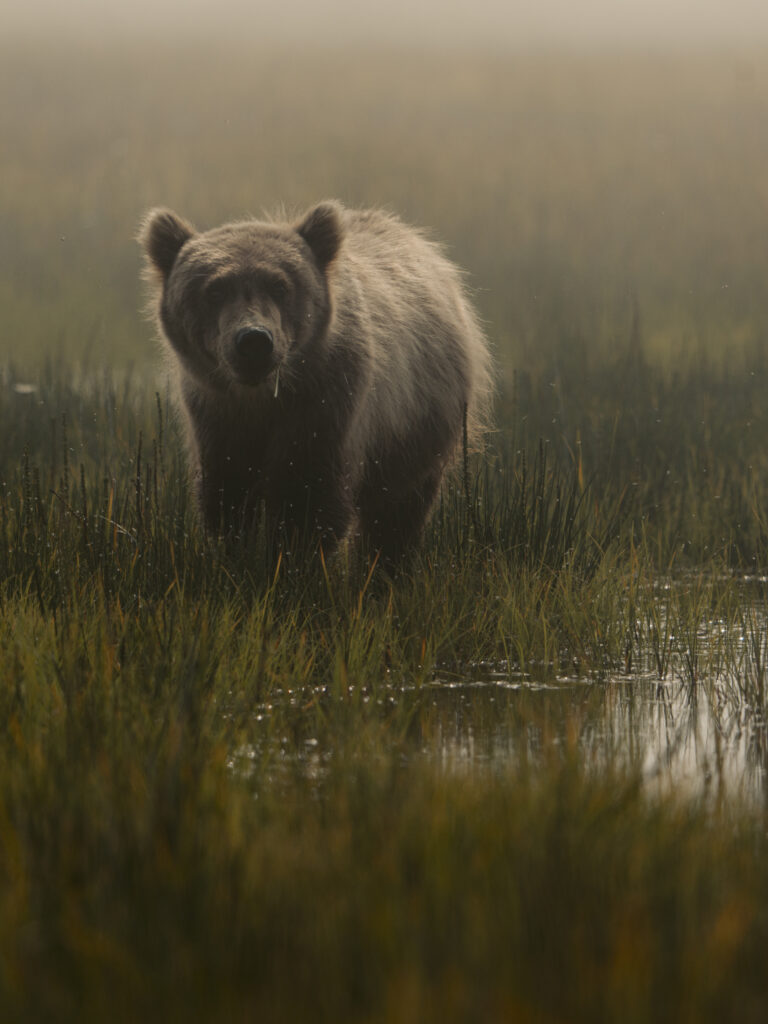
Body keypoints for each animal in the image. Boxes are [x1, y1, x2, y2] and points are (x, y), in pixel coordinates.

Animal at [140, 201, 493, 562]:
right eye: (215, 290)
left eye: (280, 286)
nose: (254, 341)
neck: (264, 397)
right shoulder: (216, 413)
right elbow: (229, 494)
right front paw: (239, 550)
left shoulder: (324, 402)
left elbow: (308, 496)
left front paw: (293, 556)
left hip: (418, 419)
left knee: (396, 510)